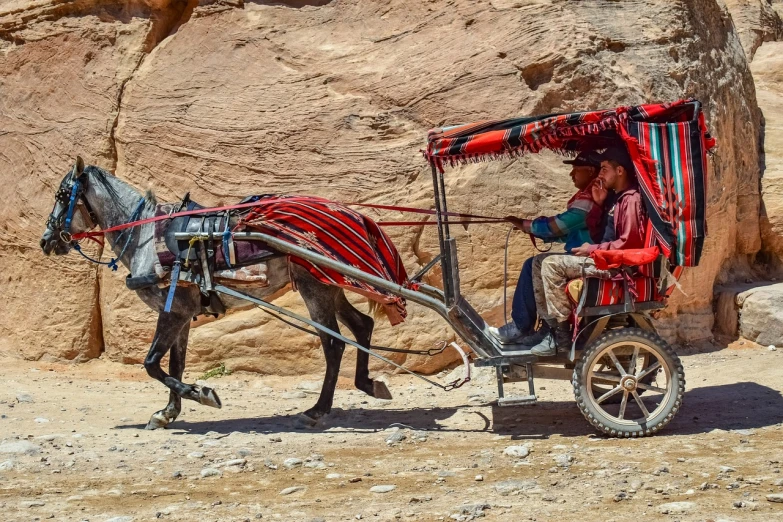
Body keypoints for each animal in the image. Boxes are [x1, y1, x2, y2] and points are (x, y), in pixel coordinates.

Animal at [38, 156, 392, 428]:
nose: (46, 241)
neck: (146, 235)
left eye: (62, 195)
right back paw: (368, 383)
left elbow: (152, 363)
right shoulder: (181, 313)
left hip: (314, 288)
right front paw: (168, 412)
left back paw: (317, 410)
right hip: (330, 286)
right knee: (361, 325)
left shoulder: (173, 311)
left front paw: (202, 394)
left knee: (334, 345)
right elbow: (175, 364)